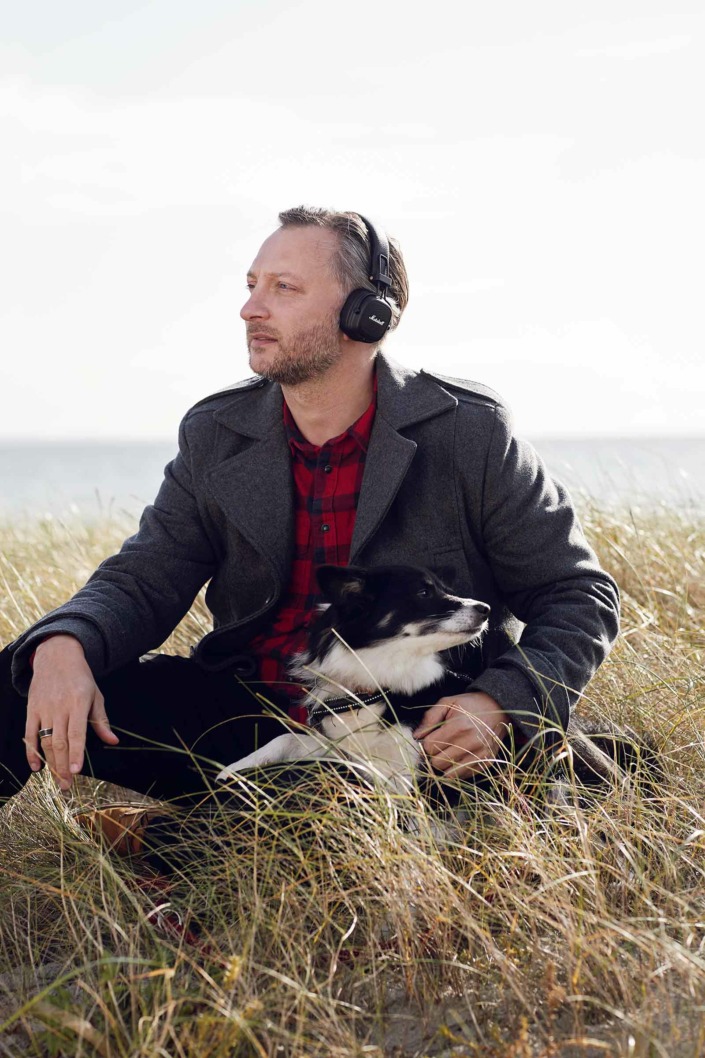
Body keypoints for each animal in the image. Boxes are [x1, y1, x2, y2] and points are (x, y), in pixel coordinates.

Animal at [215, 562, 647, 799]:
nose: (484, 608)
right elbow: (285, 738)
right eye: (424, 592)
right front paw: (234, 769)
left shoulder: (411, 776)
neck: (380, 684)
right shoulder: (338, 743)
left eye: (445, 588)